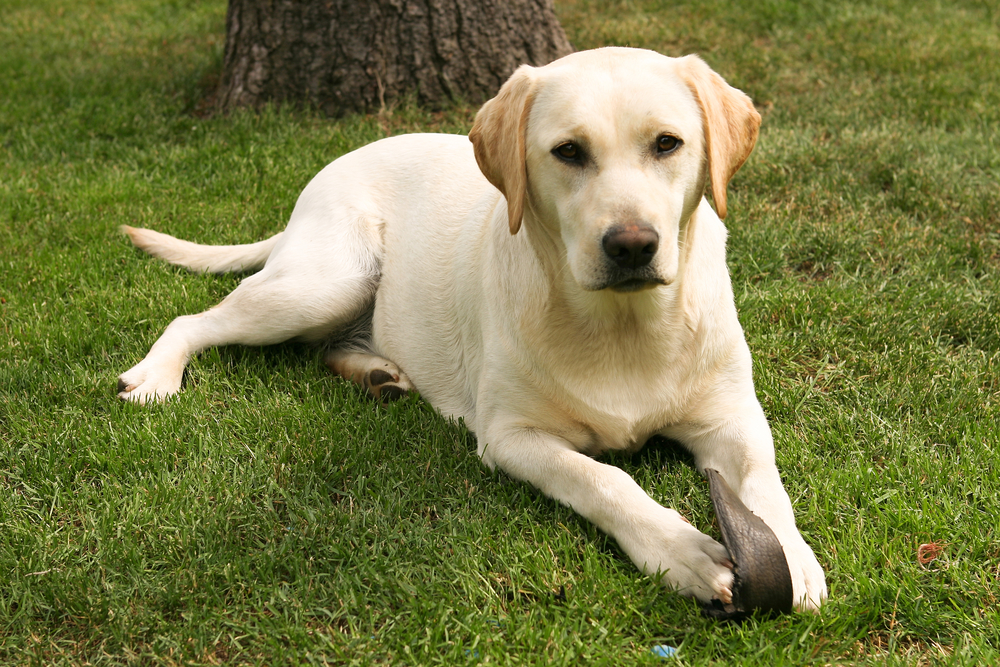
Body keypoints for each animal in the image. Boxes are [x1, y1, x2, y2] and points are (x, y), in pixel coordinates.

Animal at [117, 45, 824, 612]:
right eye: (569, 151)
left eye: (668, 143)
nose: (631, 245)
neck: (624, 327)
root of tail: (328, 171)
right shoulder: (511, 437)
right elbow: (605, 481)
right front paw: (684, 551)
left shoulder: (732, 419)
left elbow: (765, 484)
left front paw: (791, 556)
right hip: (325, 281)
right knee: (197, 319)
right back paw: (156, 376)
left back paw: (378, 374)